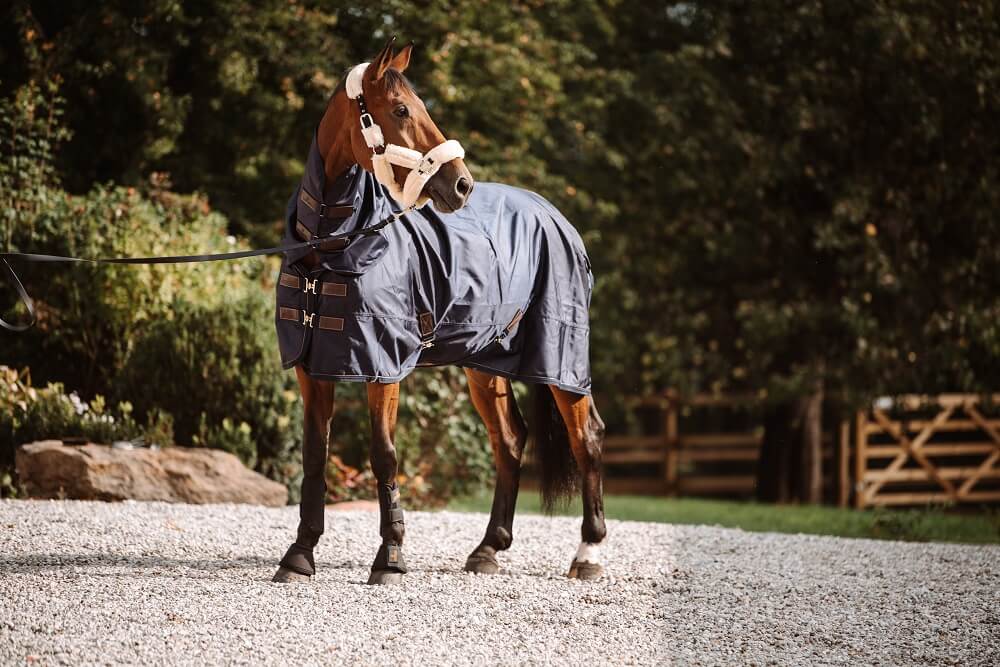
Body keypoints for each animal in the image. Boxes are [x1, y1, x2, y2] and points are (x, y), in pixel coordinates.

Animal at [270, 39, 604, 588]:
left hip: (562, 360)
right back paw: (489, 548)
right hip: (484, 364)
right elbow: (314, 455)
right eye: (401, 110)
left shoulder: (382, 369)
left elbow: (384, 455)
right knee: (510, 440)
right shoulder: (310, 368)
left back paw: (589, 552)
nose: (462, 185)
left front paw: (390, 558)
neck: (335, 245)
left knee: (587, 438)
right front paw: (299, 555)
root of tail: (555, 216)